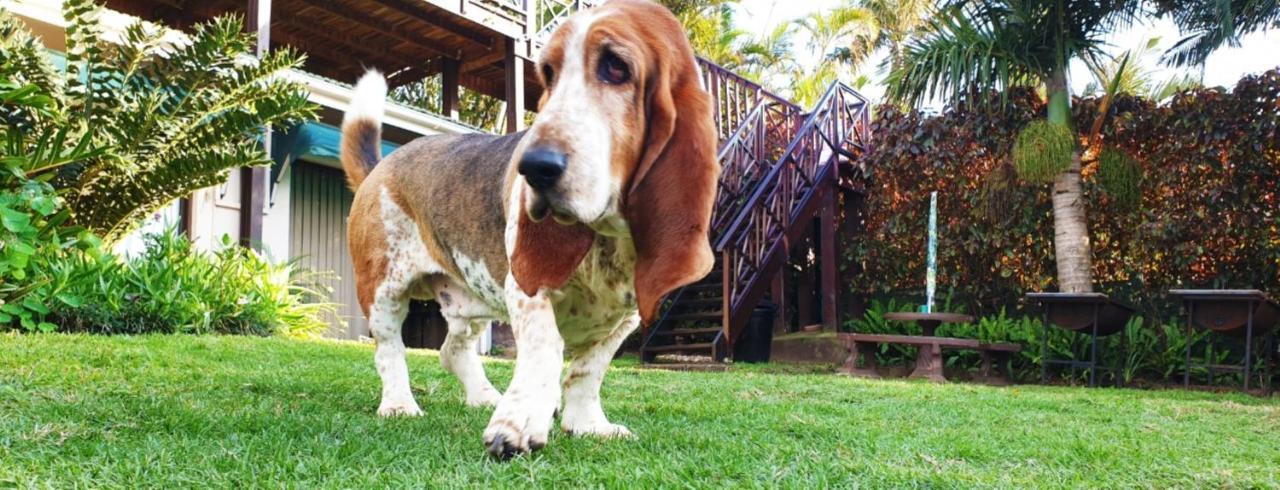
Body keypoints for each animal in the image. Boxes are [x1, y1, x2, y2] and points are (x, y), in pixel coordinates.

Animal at [340, 0, 721, 460]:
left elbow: (587, 370)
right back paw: (400, 404)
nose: (534, 167)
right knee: (390, 350)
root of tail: (380, 166)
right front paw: (517, 423)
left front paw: (587, 424)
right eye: (548, 73)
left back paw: (485, 395)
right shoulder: (525, 289)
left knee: (452, 349)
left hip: (468, 302)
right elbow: (547, 349)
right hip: (383, 292)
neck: (607, 238)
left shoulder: (626, 317)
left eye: (616, 67)